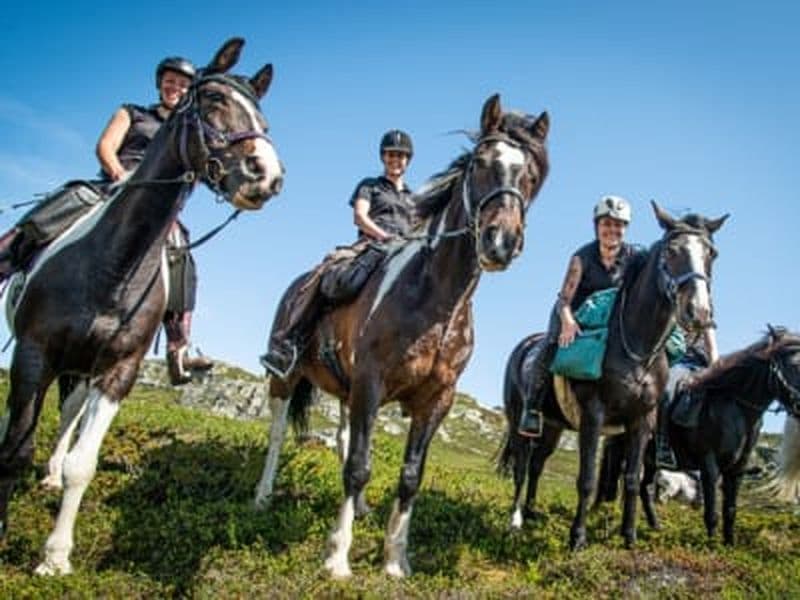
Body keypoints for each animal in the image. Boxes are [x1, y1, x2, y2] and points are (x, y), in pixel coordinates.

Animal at [0, 38, 284, 575]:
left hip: (82, 367)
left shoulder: (118, 371)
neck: (113, 264)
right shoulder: (32, 353)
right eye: (212, 100)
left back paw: (51, 474)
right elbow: (13, 449)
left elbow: (83, 464)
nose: (268, 176)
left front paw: (56, 556)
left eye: (264, 117)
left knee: (68, 412)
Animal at [255, 94, 549, 578]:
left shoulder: (435, 401)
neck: (436, 300)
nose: (500, 242)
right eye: (480, 163)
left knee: (342, 440)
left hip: (346, 392)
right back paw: (262, 496)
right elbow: (358, 466)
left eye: (532, 173)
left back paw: (362, 510)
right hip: (288, 377)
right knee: (280, 432)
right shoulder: (371, 383)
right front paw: (337, 558)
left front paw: (395, 561)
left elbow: (409, 476)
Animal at [498, 203, 727, 549]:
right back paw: (516, 520)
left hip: (552, 426)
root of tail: (523, 347)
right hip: (518, 423)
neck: (635, 350)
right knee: (522, 467)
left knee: (537, 465)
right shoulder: (593, 416)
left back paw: (533, 511)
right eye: (671, 251)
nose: (698, 313)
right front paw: (577, 538)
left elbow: (632, 480)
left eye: (711, 253)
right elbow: (587, 479)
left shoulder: (641, 421)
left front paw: (629, 537)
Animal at [597, 327, 800, 545]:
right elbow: (711, 511)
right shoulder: (709, 463)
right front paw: (711, 544)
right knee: (613, 484)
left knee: (646, 487)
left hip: (650, 459)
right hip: (621, 447)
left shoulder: (737, 469)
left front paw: (729, 544)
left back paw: (655, 527)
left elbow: (730, 510)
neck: (734, 409)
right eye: (794, 365)